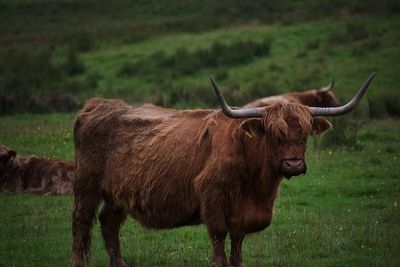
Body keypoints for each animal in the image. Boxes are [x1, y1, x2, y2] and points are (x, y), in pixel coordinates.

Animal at [71, 74, 376, 267]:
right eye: (274, 134)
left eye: (304, 135)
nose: (293, 164)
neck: (257, 185)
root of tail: (96, 104)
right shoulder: (213, 198)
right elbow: (219, 240)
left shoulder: (243, 214)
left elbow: (238, 246)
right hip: (87, 185)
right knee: (81, 223)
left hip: (118, 193)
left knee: (109, 223)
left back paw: (121, 263)